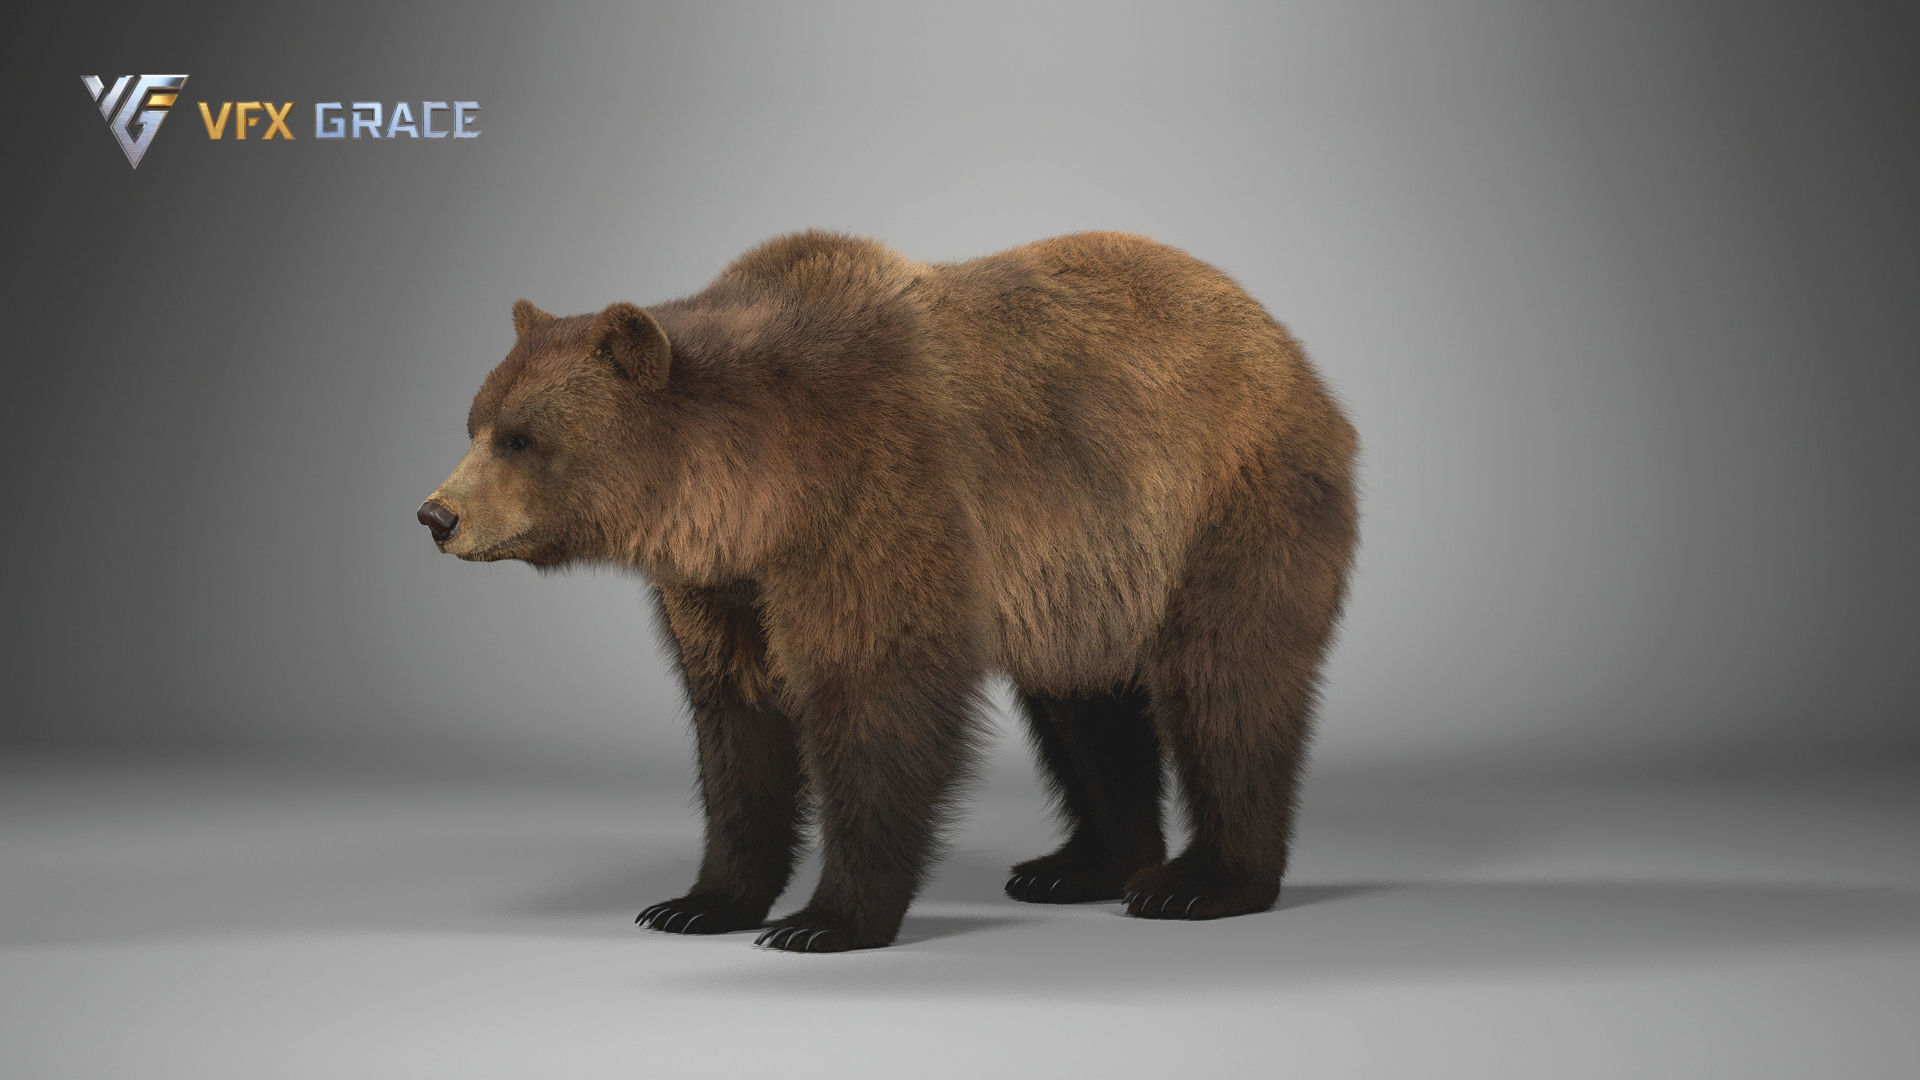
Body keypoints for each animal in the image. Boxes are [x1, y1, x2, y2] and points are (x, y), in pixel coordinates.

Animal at [418, 230, 1359, 951]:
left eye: (522, 437)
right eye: (474, 422)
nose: (436, 514)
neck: (754, 489)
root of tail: (1287, 346)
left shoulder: (876, 498)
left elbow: (877, 700)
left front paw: (824, 920)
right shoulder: (726, 586)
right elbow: (734, 727)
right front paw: (696, 902)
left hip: (1226, 505)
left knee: (1226, 683)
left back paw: (1198, 881)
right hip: (1088, 578)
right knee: (1082, 703)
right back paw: (1077, 865)